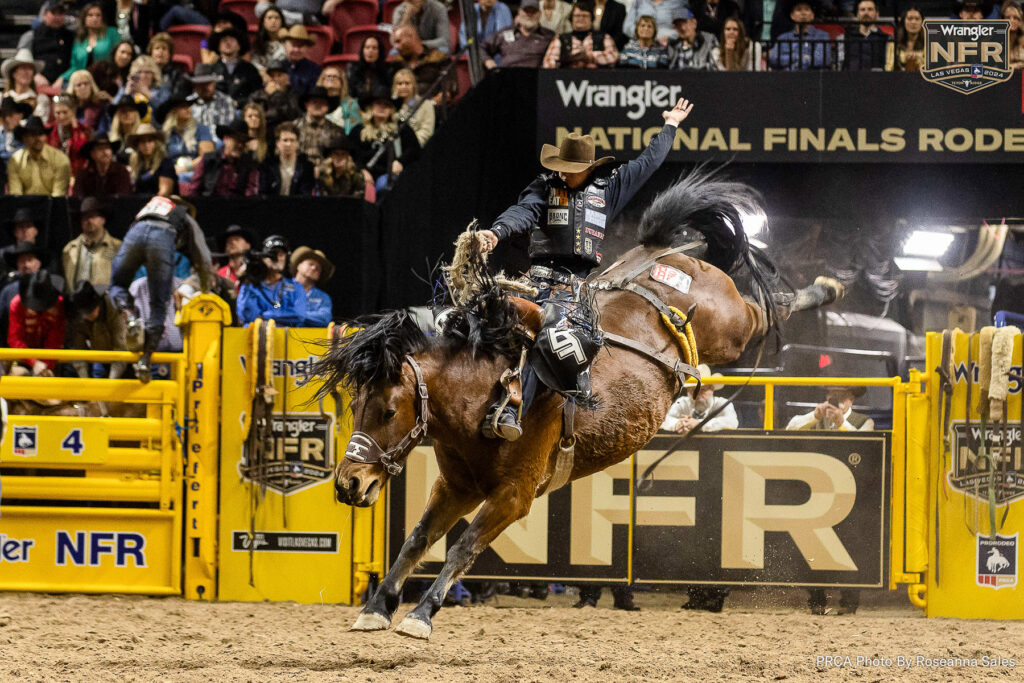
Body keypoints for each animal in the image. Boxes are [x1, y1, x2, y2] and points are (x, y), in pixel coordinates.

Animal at [311, 171, 839, 643]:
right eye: (355, 405)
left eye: (387, 410)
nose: (348, 484)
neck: (483, 397)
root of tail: (664, 255)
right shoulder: (457, 486)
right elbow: (418, 538)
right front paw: (377, 608)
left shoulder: (514, 495)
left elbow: (463, 547)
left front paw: (421, 616)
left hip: (732, 328)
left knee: (770, 308)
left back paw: (826, 288)